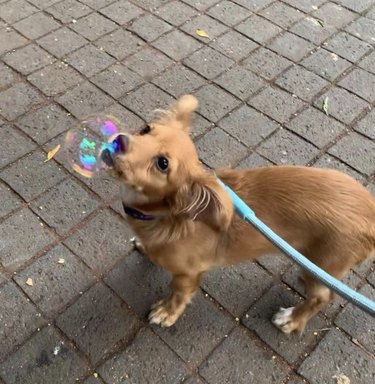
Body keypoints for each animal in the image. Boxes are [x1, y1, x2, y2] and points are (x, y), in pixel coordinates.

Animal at [103, 94, 375, 332]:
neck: (167, 217)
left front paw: (166, 312)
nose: (119, 141)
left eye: (163, 164)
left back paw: (292, 319)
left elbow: (178, 294)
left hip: (323, 265)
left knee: (323, 297)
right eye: (145, 129)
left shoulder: (188, 274)